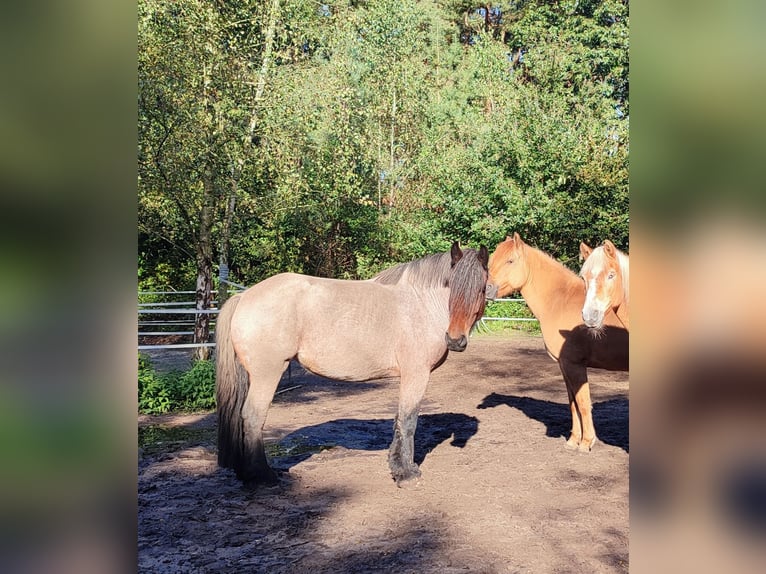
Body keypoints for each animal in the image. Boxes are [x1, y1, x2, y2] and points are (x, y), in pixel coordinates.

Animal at [219, 243, 488, 490]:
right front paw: (406, 474)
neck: (421, 305)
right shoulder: (416, 374)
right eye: (452, 286)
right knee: (253, 417)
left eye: (482, 287)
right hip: (268, 374)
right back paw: (262, 476)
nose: (455, 340)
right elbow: (408, 420)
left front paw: (397, 466)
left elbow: (399, 419)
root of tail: (243, 297)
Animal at [486, 236, 632, 452]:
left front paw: (586, 442)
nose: (486, 289)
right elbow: (572, 403)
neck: (559, 300)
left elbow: (582, 402)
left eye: (510, 261)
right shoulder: (564, 365)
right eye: (493, 257)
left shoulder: (574, 364)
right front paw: (573, 440)